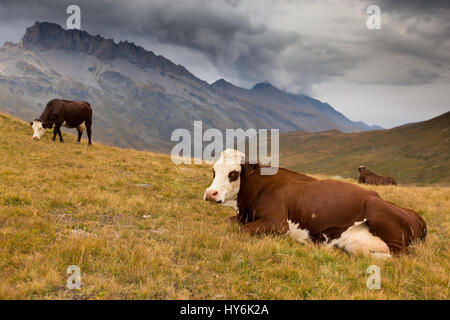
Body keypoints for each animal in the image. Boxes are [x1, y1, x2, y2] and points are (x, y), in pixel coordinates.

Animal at [202, 149, 428, 258]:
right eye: (214, 170)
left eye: (233, 173)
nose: (210, 193)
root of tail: (417, 216)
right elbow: (228, 223)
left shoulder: (277, 223)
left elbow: (242, 230)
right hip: (356, 241)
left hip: (378, 214)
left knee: (403, 257)